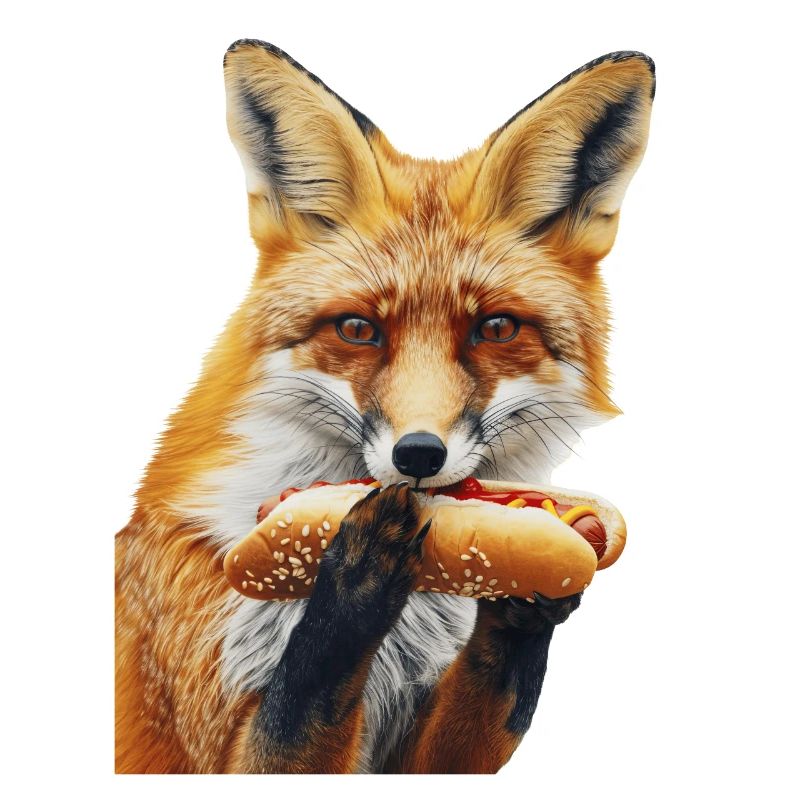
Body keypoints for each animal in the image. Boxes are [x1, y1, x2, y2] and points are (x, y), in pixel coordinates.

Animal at [115, 40, 654, 773]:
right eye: (357, 330)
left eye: (495, 329)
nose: (418, 455)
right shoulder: (213, 736)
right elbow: (306, 687)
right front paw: (357, 570)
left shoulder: (417, 756)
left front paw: (529, 597)